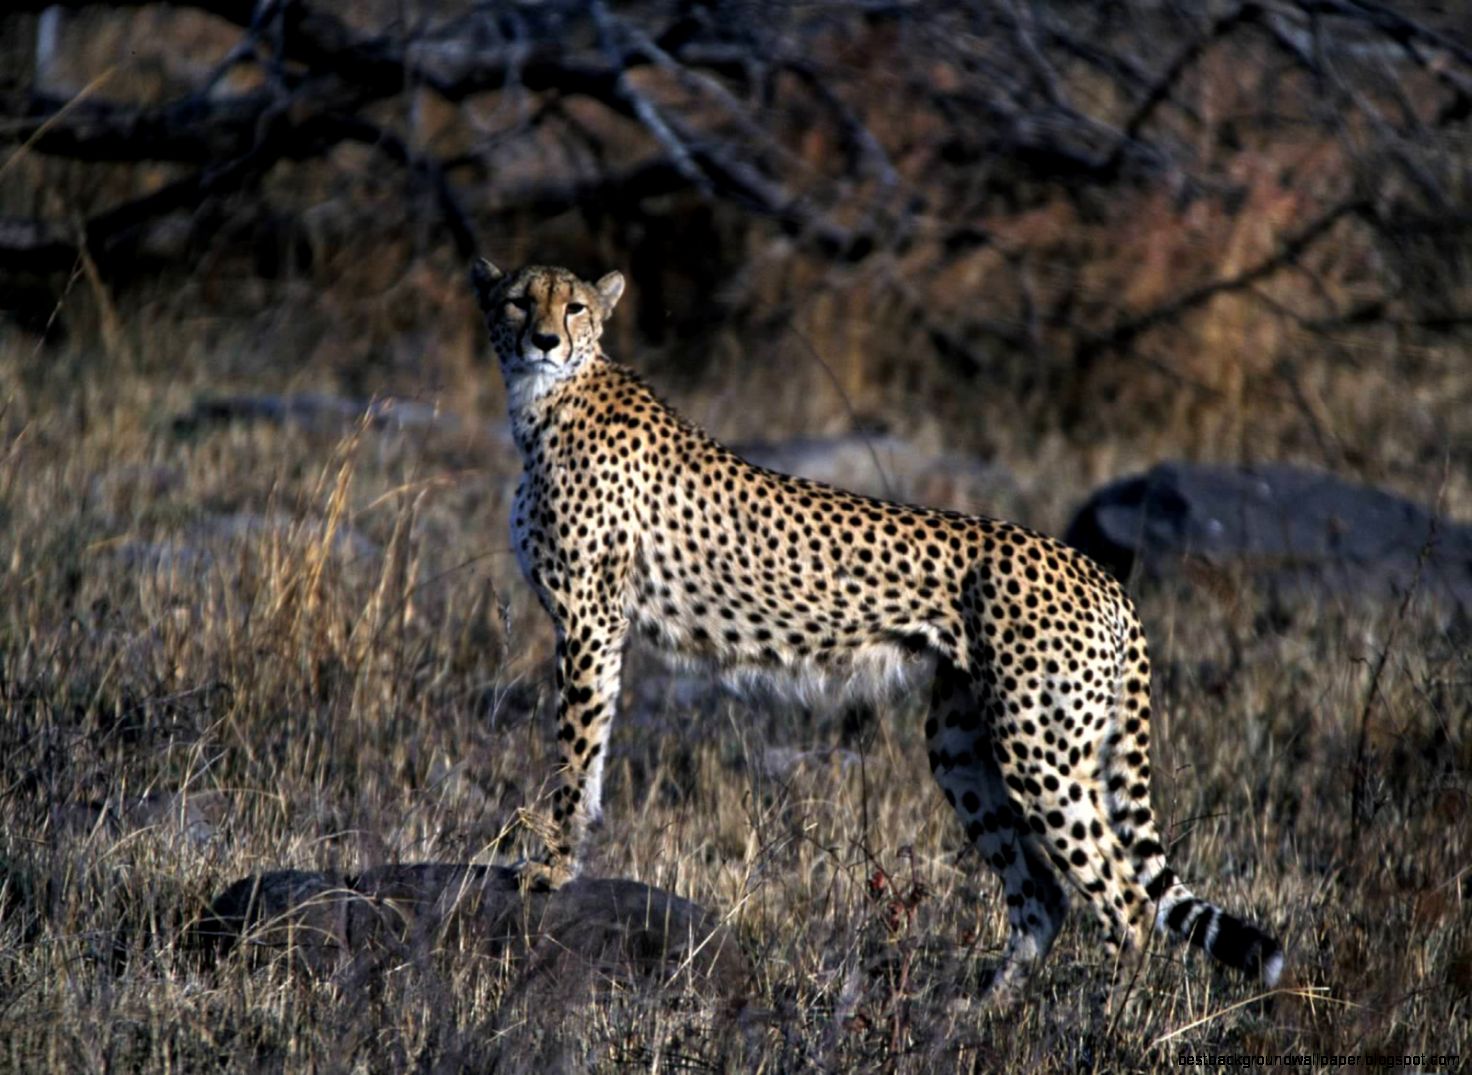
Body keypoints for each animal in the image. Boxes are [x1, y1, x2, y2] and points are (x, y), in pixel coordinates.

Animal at [468, 257, 1284, 1000]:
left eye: (574, 306)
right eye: (518, 302)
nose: (544, 340)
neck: (545, 400)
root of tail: (1100, 572)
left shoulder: (587, 620)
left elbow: (574, 753)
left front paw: (551, 863)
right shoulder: (595, 626)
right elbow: (591, 750)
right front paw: (562, 856)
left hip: (1039, 748)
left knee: (1127, 900)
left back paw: (1099, 1025)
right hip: (965, 743)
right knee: (1044, 896)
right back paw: (983, 1017)